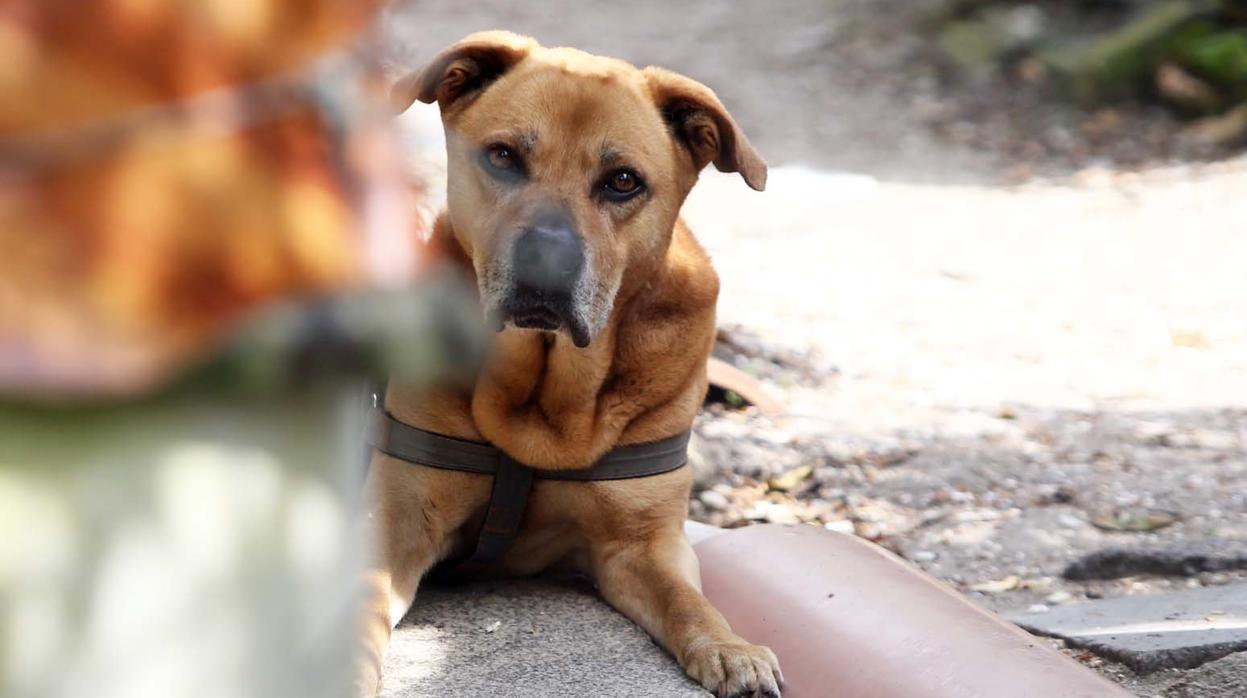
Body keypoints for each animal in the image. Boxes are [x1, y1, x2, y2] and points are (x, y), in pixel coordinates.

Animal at [356, 29, 773, 693]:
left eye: (623, 180)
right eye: (502, 157)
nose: (545, 261)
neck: (543, 398)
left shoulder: (644, 544)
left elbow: (690, 603)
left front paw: (732, 648)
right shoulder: (397, 522)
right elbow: (366, 603)